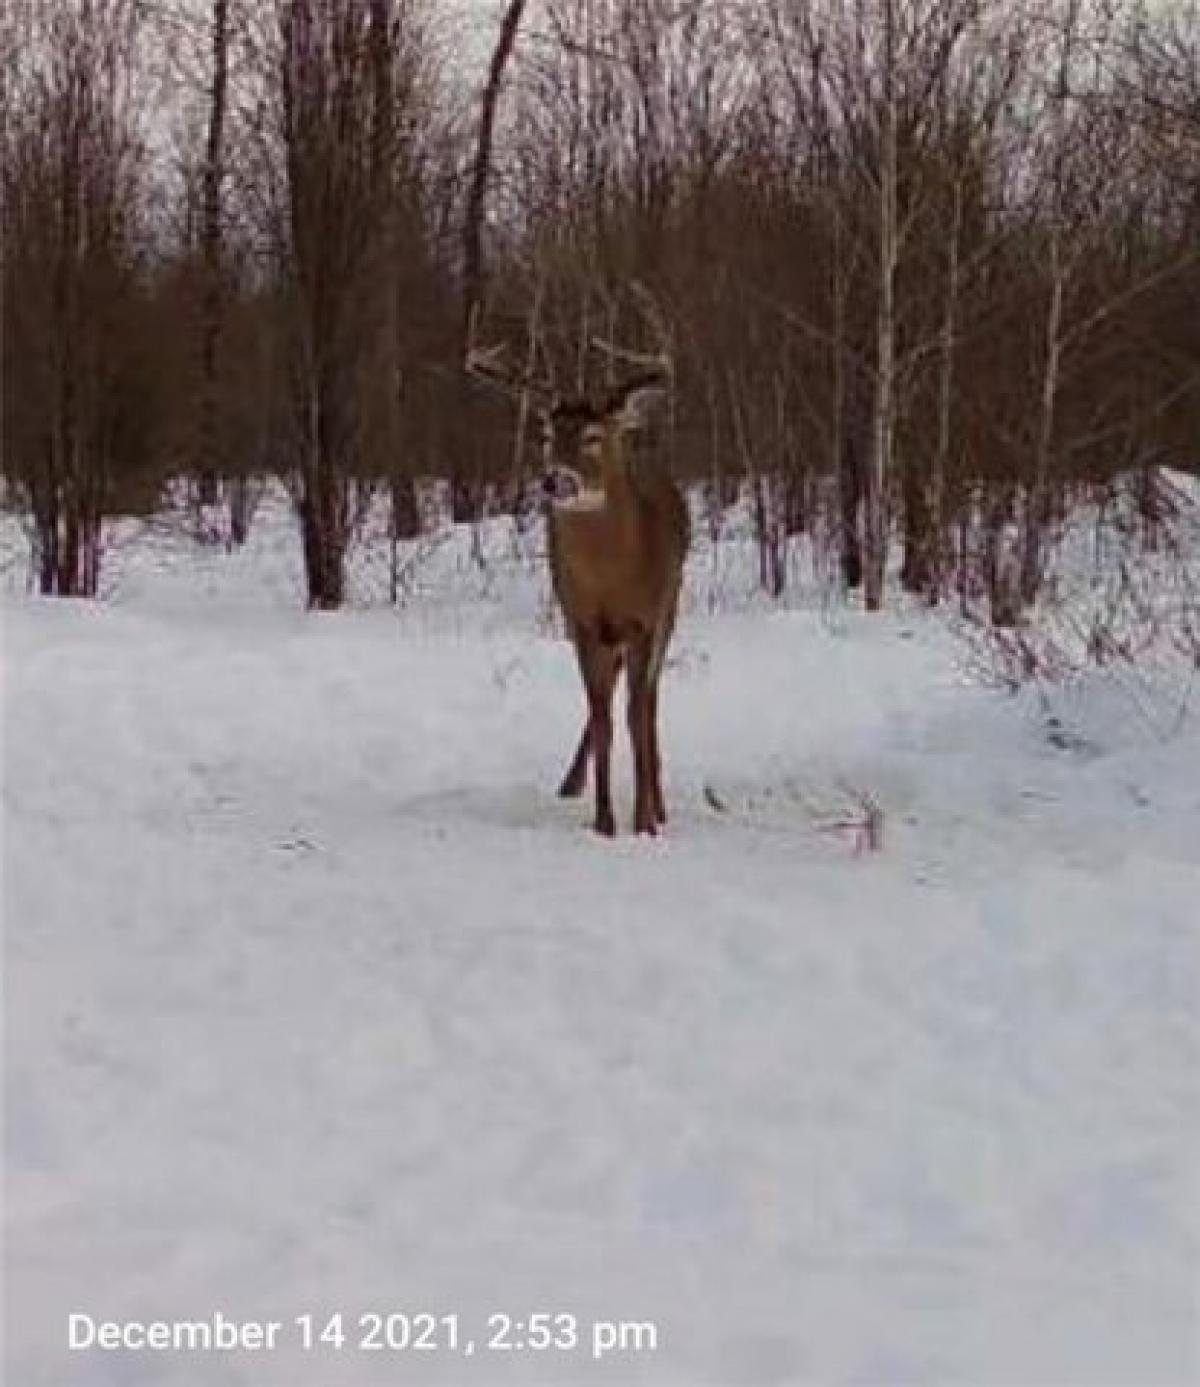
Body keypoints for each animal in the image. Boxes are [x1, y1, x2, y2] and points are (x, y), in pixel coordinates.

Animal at [471, 331, 693, 837]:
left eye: (593, 437)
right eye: (548, 436)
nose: (555, 481)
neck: (611, 576)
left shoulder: (646, 619)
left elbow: (635, 718)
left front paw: (644, 821)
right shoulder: (582, 621)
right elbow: (602, 716)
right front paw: (605, 821)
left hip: (671, 608)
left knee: (649, 704)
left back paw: (660, 803)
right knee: (609, 702)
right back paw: (572, 784)